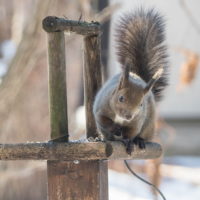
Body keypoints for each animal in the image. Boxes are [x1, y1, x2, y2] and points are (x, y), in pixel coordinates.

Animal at [93, 7, 168, 154]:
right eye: (121, 98)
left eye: (141, 104)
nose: (128, 116)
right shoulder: (101, 109)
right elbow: (103, 120)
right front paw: (115, 129)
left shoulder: (136, 122)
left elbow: (131, 132)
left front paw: (128, 141)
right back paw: (106, 137)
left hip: (149, 125)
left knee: (143, 134)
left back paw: (139, 140)